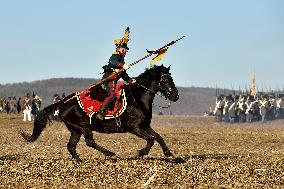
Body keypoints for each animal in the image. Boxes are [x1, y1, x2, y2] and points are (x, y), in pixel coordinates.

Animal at [20, 65, 180, 161]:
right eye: (166, 79)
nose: (175, 96)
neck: (138, 98)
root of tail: (63, 102)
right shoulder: (134, 128)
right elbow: (151, 139)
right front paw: (140, 152)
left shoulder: (145, 126)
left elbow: (158, 137)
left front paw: (168, 153)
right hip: (83, 125)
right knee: (89, 141)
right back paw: (110, 154)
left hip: (75, 129)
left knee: (71, 146)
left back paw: (79, 161)